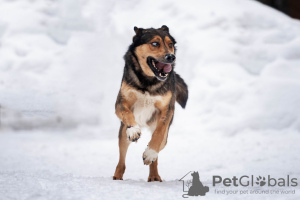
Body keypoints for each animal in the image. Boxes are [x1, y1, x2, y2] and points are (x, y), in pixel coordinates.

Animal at [112, 25, 188, 181]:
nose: (171, 57)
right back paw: (117, 176)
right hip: (122, 135)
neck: (149, 83)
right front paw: (134, 130)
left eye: (170, 44)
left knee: (158, 148)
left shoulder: (167, 110)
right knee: (122, 160)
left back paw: (154, 176)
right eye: (155, 43)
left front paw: (150, 153)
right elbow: (127, 113)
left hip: (165, 137)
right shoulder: (120, 104)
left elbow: (158, 135)